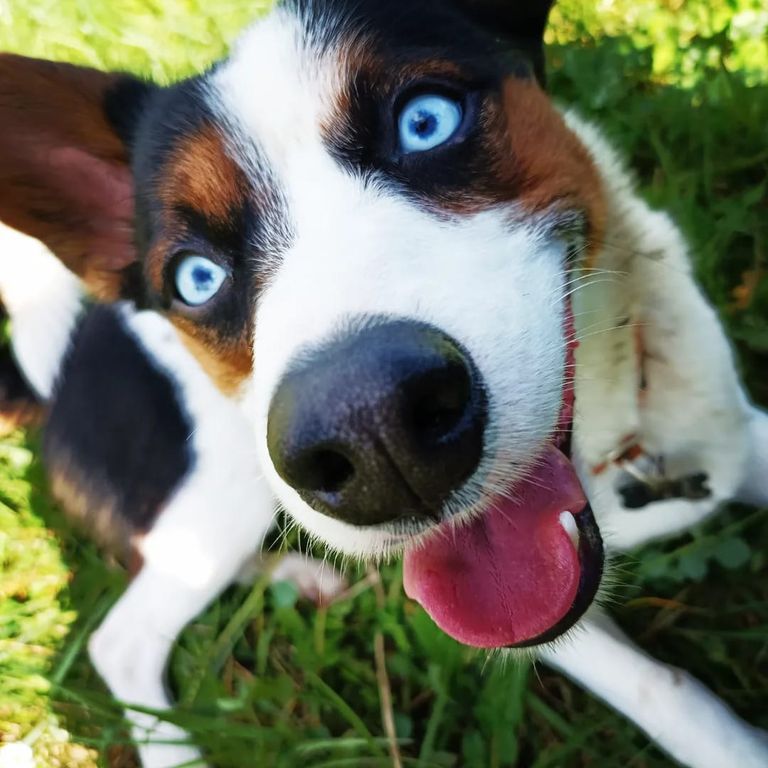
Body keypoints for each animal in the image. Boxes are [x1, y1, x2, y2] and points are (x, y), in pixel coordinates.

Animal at [0, 1, 764, 768]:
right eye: (197, 278)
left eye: (426, 121)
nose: (376, 437)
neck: (618, 450)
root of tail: (63, 363)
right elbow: (661, 689)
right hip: (219, 495)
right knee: (124, 639)